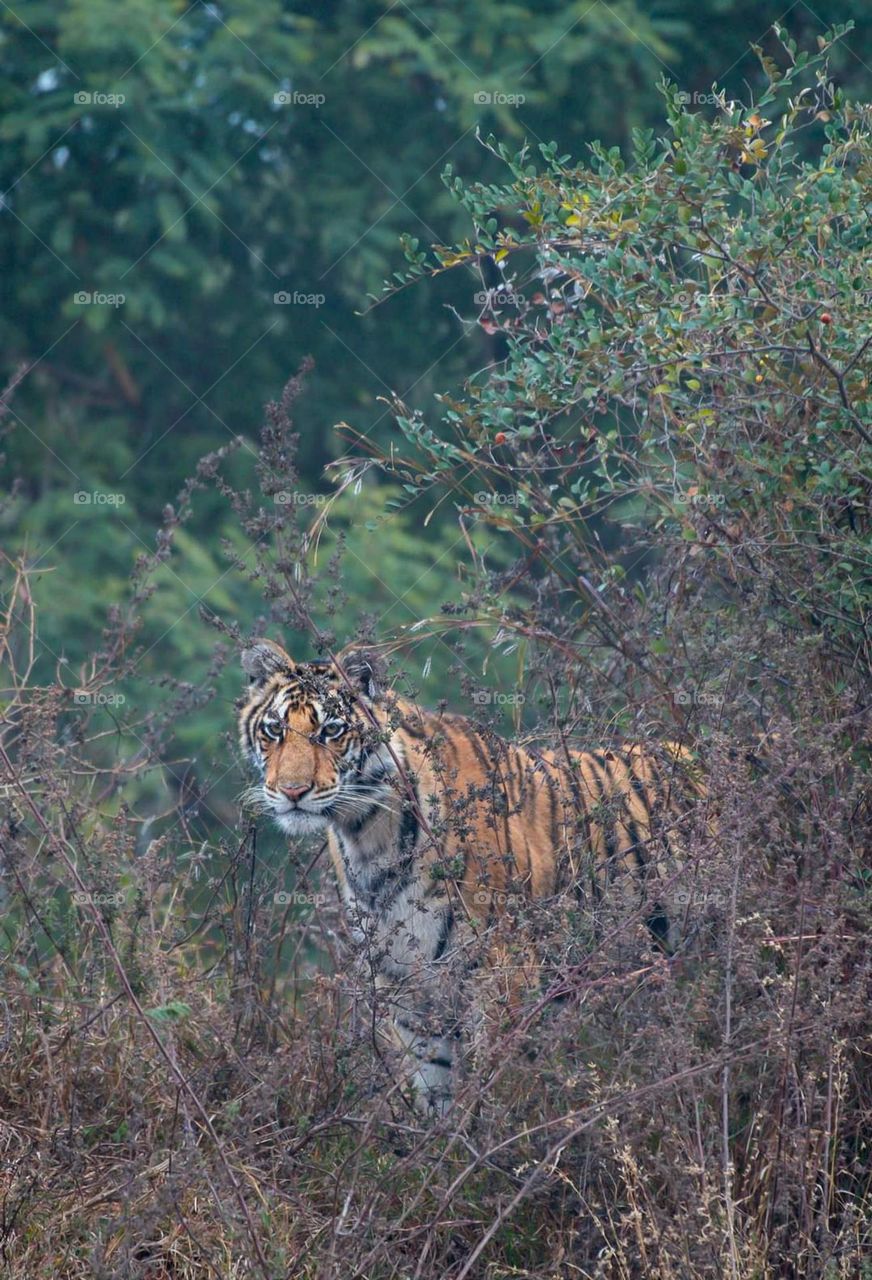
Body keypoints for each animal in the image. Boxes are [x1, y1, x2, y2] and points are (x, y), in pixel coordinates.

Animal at [238, 637, 706, 1115]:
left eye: (331, 730)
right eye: (274, 729)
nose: (292, 792)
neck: (368, 837)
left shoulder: (502, 974)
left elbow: (495, 1089)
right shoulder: (408, 985)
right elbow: (436, 1089)